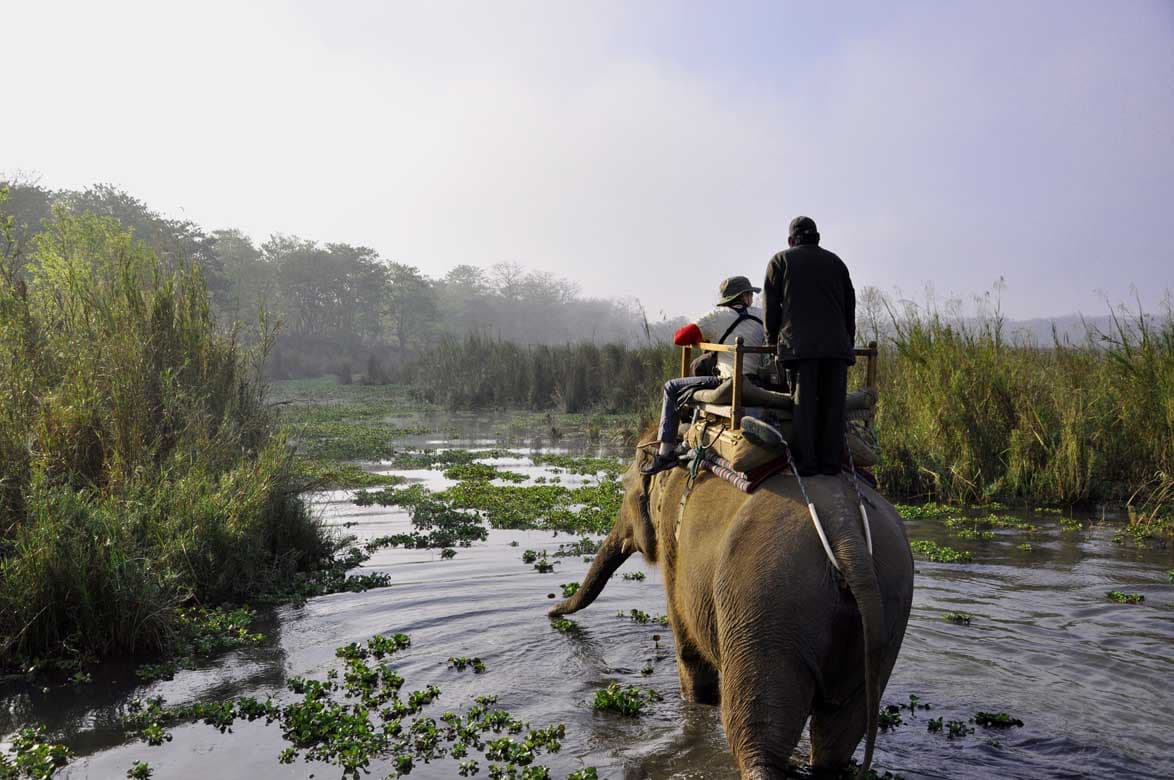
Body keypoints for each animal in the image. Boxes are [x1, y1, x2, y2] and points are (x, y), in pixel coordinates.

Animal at [550, 459, 914, 779]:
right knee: (838, 737)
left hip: (765, 601)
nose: (550, 612)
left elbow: (687, 644)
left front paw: (696, 702)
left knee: (756, 740)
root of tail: (846, 531)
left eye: (626, 491)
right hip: (887, 609)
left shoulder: (673, 547)